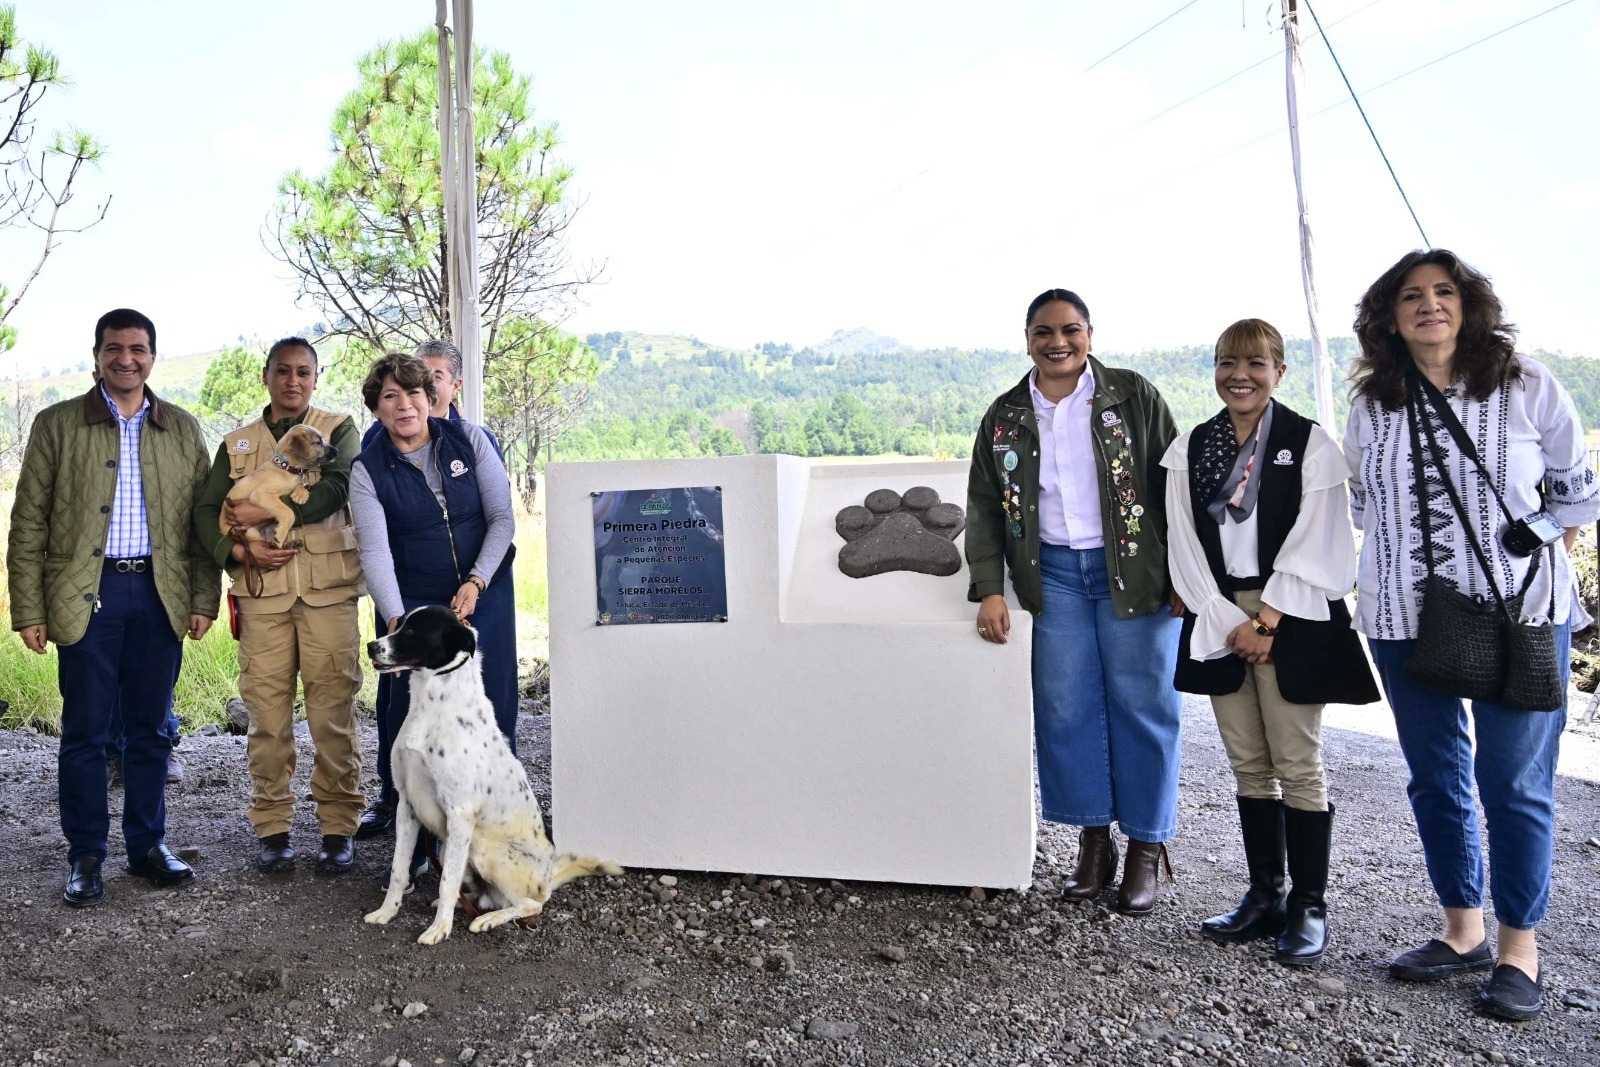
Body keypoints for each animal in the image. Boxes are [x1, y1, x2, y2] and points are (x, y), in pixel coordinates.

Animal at [364, 604, 617, 947]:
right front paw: (387, 912)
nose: (370, 646)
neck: (431, 704)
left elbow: (446, 881)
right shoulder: (407, 805)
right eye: (399, 624)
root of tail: (548, 874)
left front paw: (439, 929)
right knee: (480, 892)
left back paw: (488, 918)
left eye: (415, 630)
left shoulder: (460, 814)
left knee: (531, 903)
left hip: (484, 850)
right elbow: (399, 871)